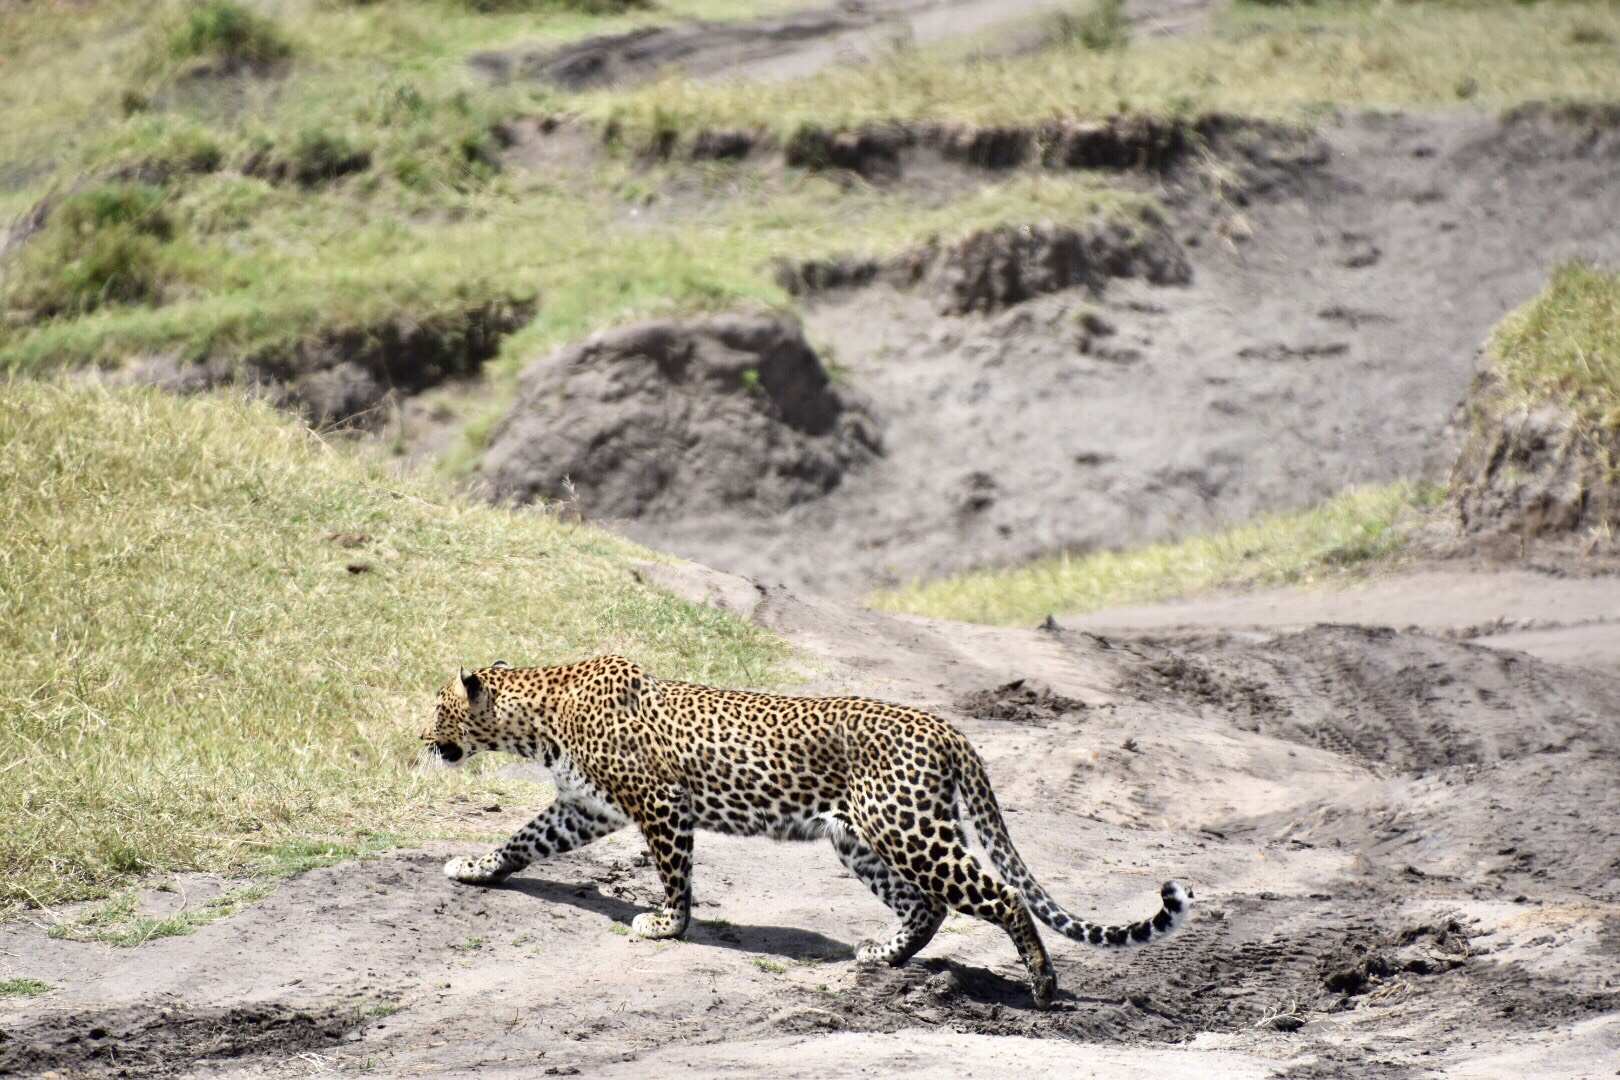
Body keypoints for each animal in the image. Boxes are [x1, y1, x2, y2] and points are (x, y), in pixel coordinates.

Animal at [427, 654, 1192, 1010]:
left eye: (437, 709)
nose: (425, 742)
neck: (536, 719)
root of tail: (949, 730)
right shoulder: (587, 807)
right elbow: (522, 838)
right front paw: (474, 867)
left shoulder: (660, 805)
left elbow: (674, 875)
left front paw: (666, 926)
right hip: (859, 837)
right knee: (927, 904)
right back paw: (883, 954)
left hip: (908, 828)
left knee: (998, 895)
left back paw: (1042, 987)